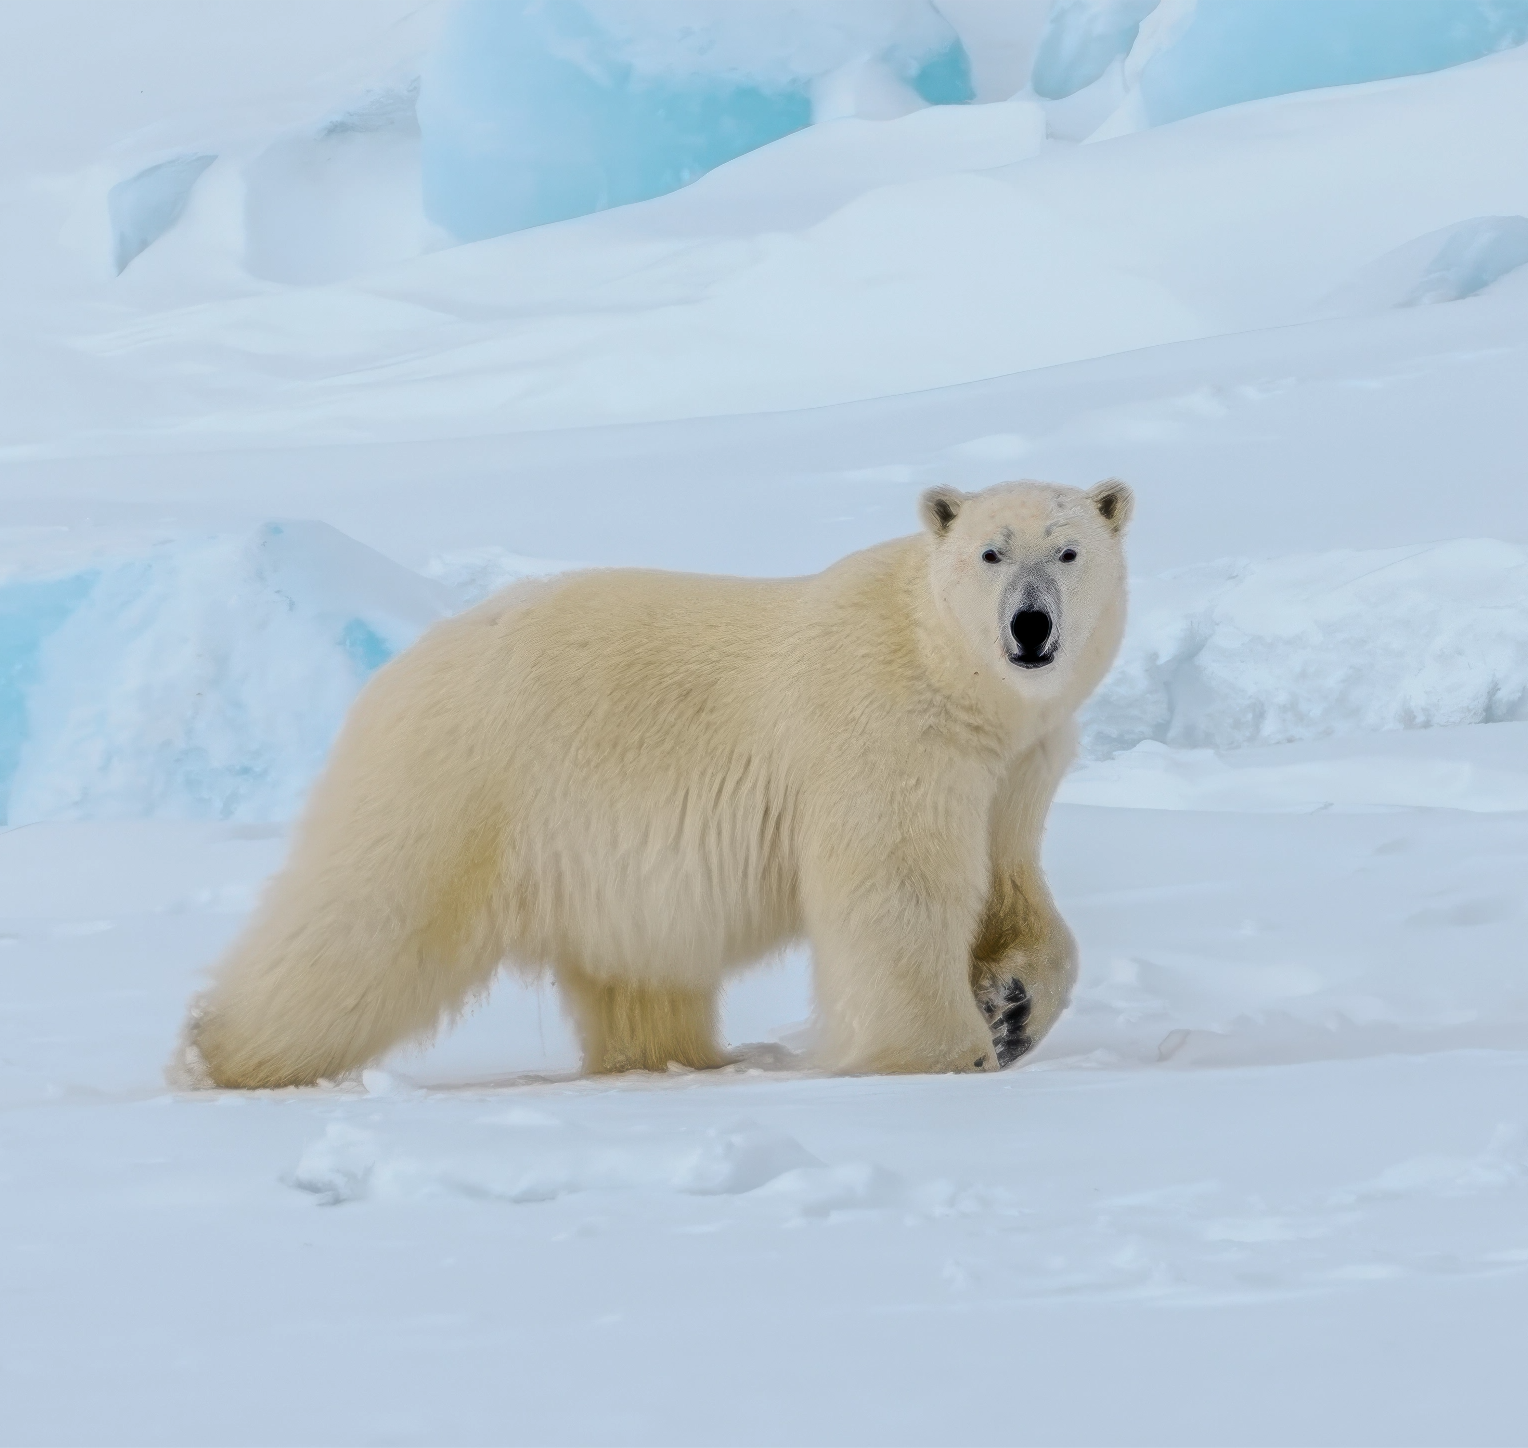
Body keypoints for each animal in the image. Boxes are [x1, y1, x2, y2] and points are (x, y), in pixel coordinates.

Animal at [176, 478, 1132, 1088]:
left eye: (1070, 551)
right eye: (990, 552)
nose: (1031, 626)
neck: (954, 679)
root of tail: (396, 670)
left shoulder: (1016, 764)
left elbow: (1012, 886)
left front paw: (1012, 1008)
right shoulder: (885, 734)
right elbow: (898, 889)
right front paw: (949, 1052)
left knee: (637, 974)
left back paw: (681, 1060)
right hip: (459, 783)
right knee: (363, 918)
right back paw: (219, 1055)